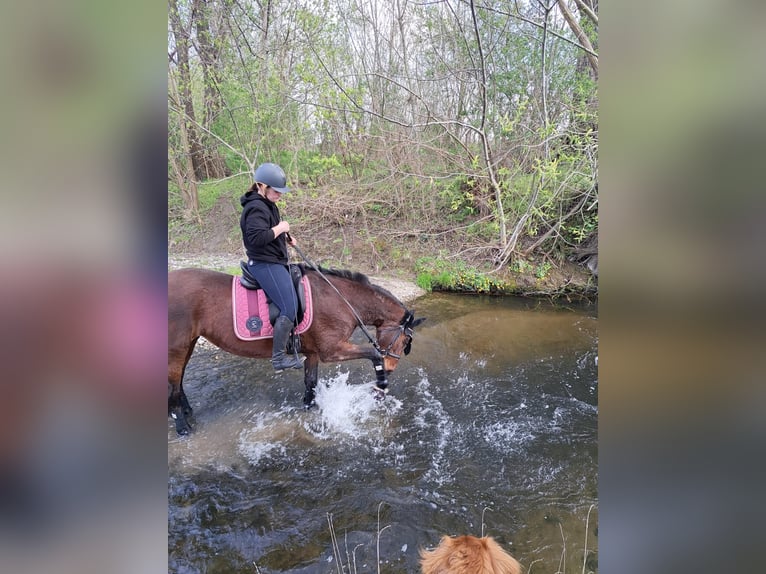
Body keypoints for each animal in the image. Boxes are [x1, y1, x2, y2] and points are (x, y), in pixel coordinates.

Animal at [167, 266, 426, 436]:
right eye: (405, 340)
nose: (392, 368)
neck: (339, 299)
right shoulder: (333, 350)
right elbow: (374, 354)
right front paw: (380, 386)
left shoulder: (313, 353)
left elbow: (310, 382)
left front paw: (310, 409)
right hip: (176, 348)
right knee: (174, 384)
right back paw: (181, 426)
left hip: (188, 344)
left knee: (179, 382)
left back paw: (187, 413)